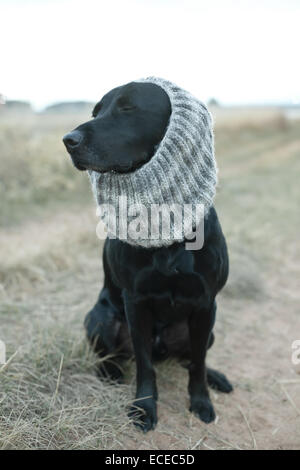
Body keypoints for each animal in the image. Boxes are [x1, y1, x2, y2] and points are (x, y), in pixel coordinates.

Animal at [62, 80, 232, 430]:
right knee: (112, 354)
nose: (68, 140)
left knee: (192, 358)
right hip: (99, 318)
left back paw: (215, 376)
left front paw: (201, 401)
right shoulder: (135, 302)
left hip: (207, 329)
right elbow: (144, 365)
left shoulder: (206, 302)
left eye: (128, 107)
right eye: (96, 111)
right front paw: (144, 407)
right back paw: (110, 371)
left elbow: (197, 363)